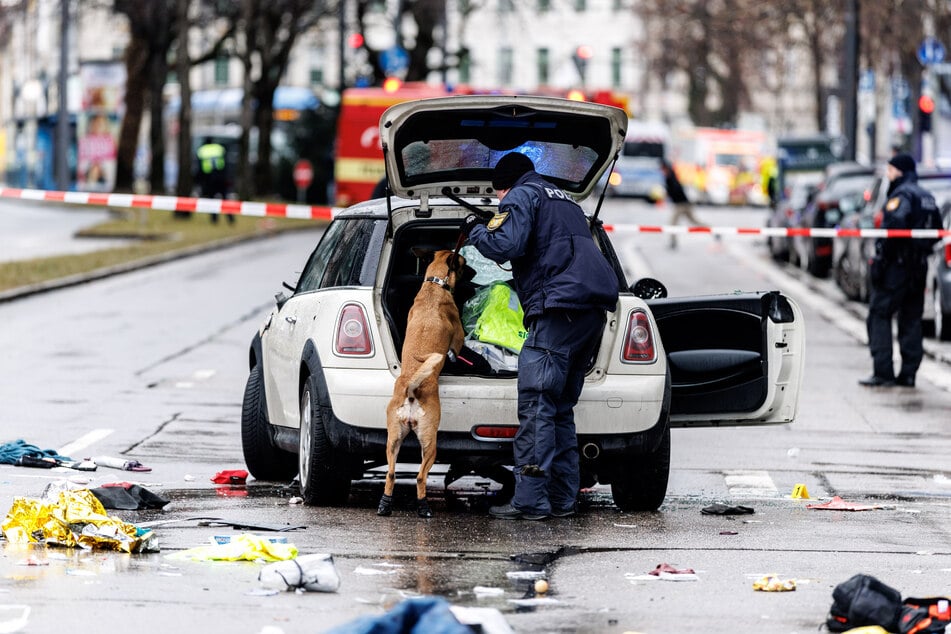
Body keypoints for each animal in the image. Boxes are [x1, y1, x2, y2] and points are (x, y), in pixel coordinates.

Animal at [380, 249, 468, 516]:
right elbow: (458, 344)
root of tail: (412, 388)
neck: (434, 285)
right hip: (430, 443)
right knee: (420, 477)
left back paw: (385, 505)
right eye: (464, 264)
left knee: (390, 474)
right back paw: (423, 508)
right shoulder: (458, 336)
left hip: (393, 440)